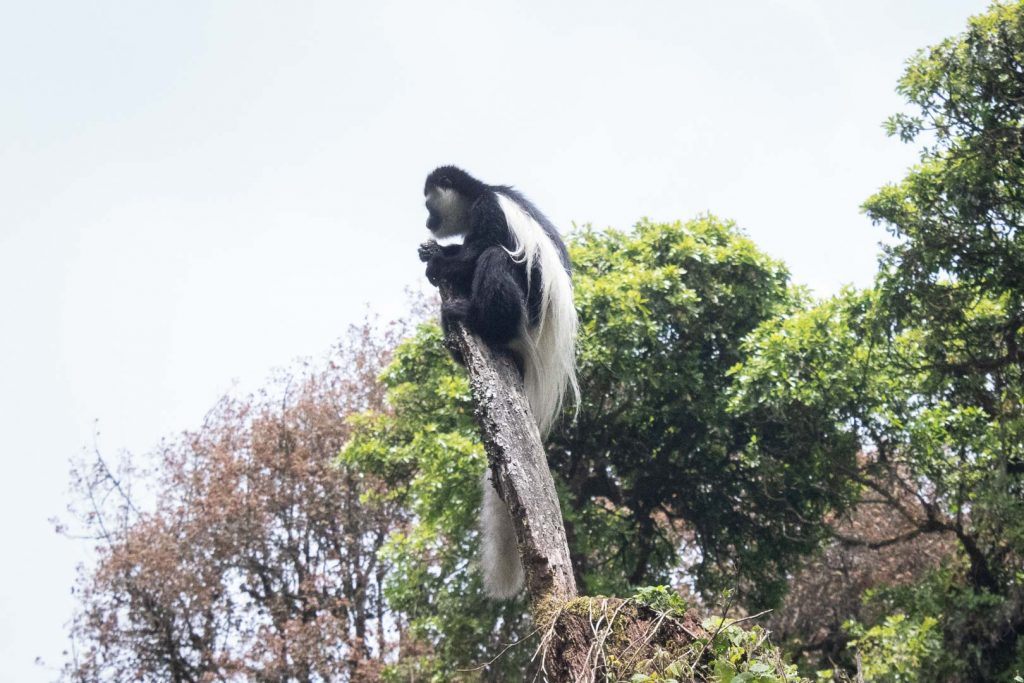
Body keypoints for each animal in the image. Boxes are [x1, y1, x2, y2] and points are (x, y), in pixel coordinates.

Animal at [415, 165, 577, 598]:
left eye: (429, 203)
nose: (427, 222)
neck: (478, 193)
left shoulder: (489, 211)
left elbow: (480, 250)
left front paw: (438, 258)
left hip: (522, 320)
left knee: (495, 259)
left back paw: (475, 317)